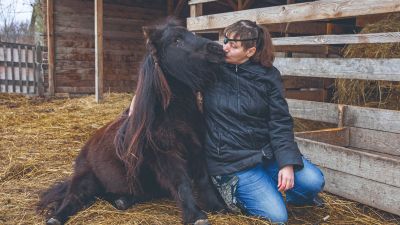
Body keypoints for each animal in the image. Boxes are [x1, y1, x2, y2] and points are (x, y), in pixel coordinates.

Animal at [37, 19, 228, 225]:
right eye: (176, 40)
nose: (217, 49)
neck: (174, 115)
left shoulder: (196, 146)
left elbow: (203, 178)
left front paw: (219, 207)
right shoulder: (166, 155)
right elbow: (181, 183)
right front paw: (196, 216)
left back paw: (122, 200)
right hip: (85, 178)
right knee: (73, 198)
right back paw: (56, 217)